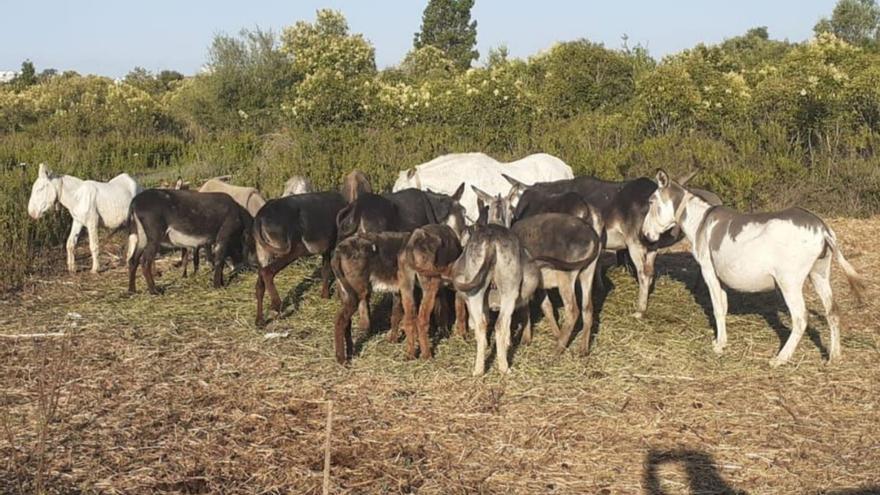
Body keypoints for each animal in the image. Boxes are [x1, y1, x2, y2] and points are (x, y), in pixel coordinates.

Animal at [644, 171, 864, 368]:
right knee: (832, 311)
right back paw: (834, 356)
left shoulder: (708, 271)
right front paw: (721, 341)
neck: (700, 222)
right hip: (819, 273)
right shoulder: (720, 277)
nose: (645, 234)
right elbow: (724, 306)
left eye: (651, 202)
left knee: (800, 317)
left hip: (789, 282)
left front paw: (719, 346)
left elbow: (717, 308)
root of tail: (822, 227)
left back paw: (780, 358)